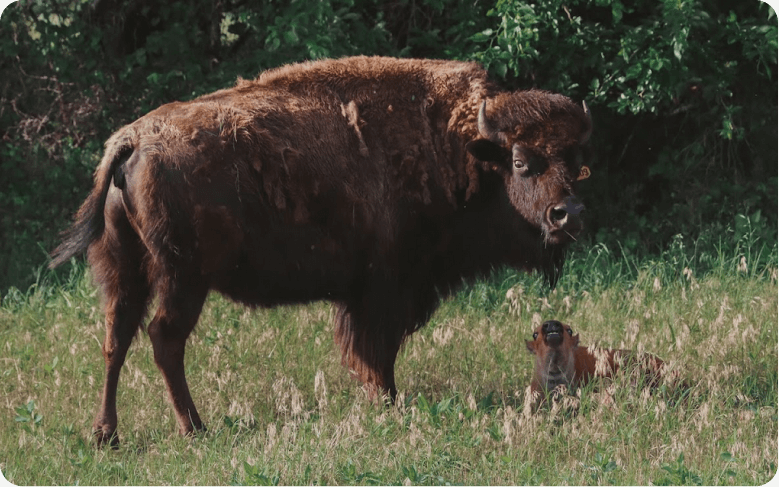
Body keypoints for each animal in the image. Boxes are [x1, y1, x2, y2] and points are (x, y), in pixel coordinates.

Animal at [50, 56, 592, 446]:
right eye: (521, 161)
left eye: (574, 160)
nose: (569, 214)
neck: (459, 148)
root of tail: (130, 142)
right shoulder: (383, 290)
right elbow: (375, 352)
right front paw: (387, 401)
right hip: (184, 278)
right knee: (164, 338)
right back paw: (193, 428)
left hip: (124, 272)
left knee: (116, 339)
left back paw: (106, 435)